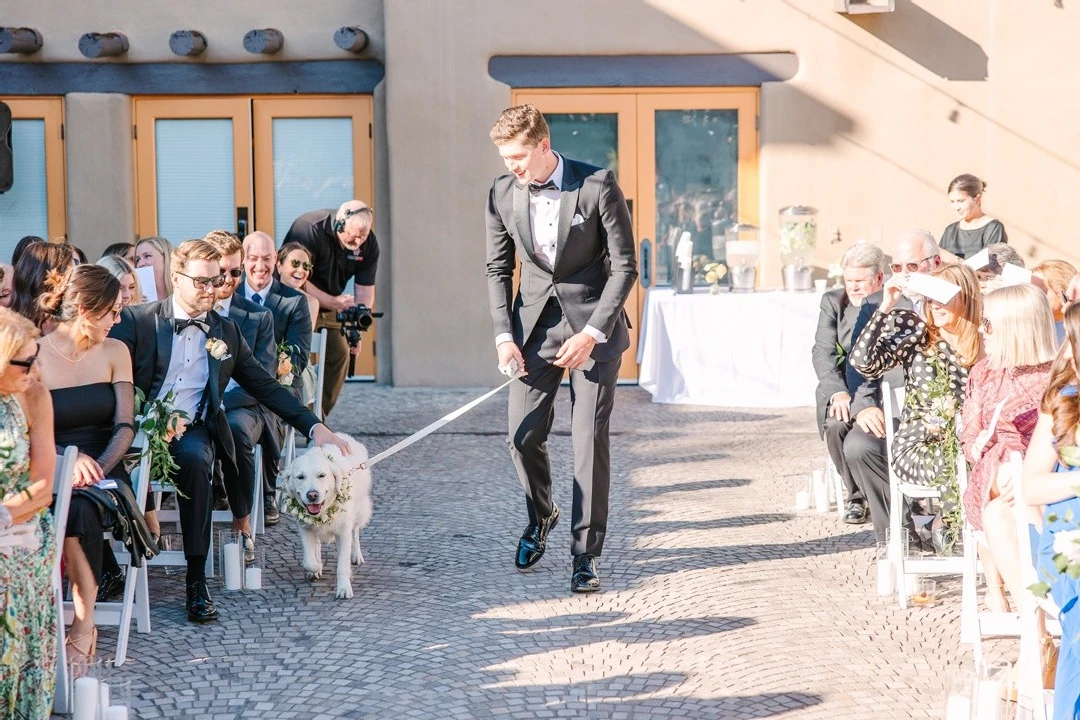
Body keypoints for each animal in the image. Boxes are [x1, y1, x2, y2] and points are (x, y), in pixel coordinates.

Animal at [280, 433, 373, 595]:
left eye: (322, 475)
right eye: (300, 477)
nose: (312, 495)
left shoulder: (343, 532)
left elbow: (342, 565)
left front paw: (344, 588)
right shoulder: (305, 529)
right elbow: (309, 561)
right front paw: (316, 568)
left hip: (359, 511)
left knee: (355, 532)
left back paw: (356, 555)